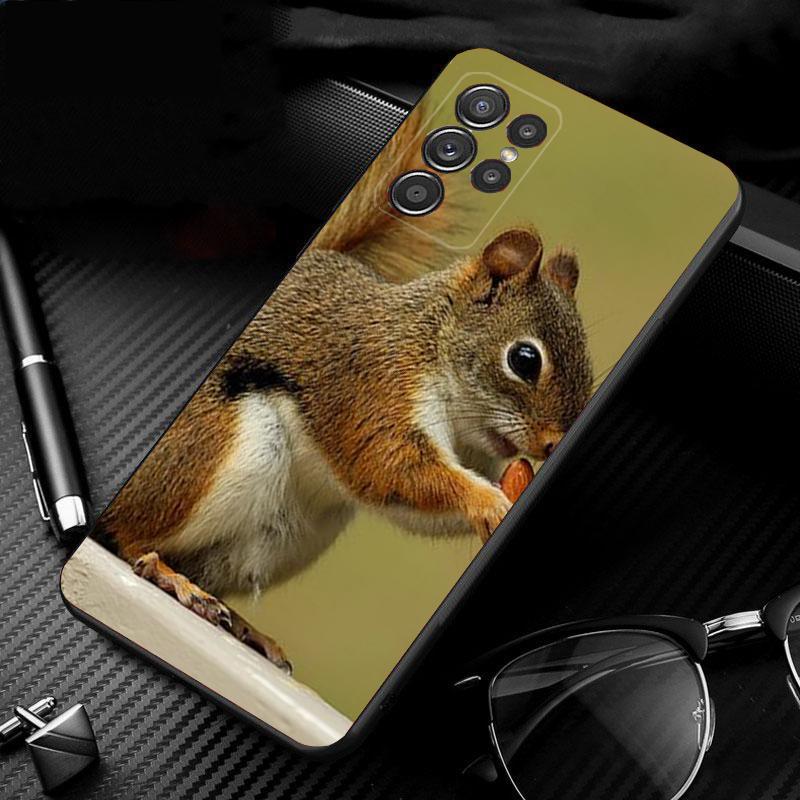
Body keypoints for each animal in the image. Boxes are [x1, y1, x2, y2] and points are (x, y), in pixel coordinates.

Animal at [95, 110, 593, 671]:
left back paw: (244, 626)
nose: (552, 445)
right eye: (524, 360)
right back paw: (170, 577)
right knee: (132, 536)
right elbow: (390, 466)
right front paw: (488, 502)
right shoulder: (371, 386)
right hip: (207, 454)